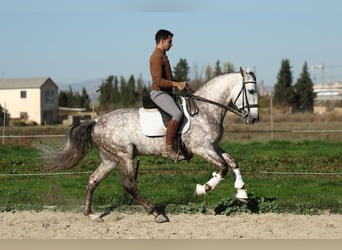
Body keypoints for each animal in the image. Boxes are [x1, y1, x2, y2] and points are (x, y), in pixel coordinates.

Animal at [41, 67, 258, 223]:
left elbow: (232, 161)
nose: (254, 119)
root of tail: (97, 121)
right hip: (124, 156)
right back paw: (155, 212)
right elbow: (222, 167)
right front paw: (203, 188)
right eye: (251, 90)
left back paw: (91, 215)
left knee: (93, 180)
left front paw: (242, 192)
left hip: (110, 159)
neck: (205, 110)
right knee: (129, 184)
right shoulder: (202, 148)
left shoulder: (213, 146)